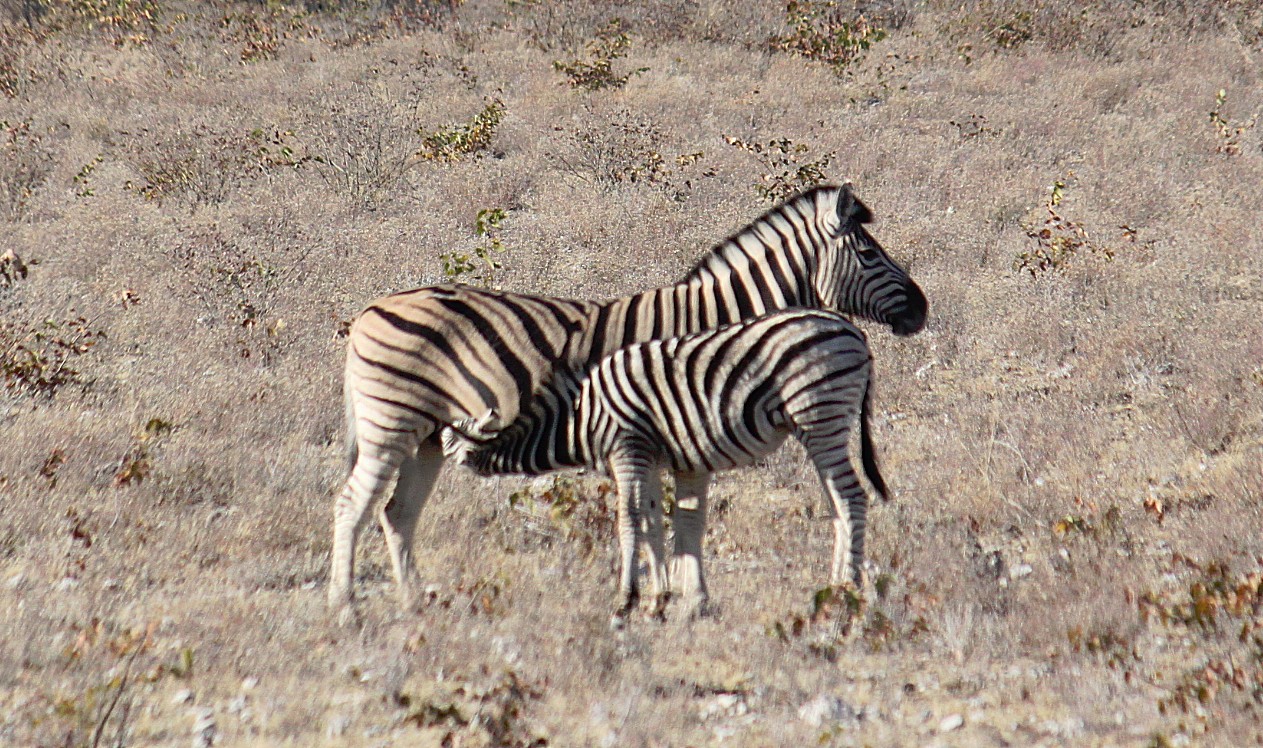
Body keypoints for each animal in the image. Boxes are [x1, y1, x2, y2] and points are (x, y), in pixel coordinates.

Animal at [444, 307, 889, 629]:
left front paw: (625, 601)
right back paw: (833, 589)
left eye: (443, 441)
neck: (578, 417)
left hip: (820, 414)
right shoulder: (653, 458)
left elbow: (629, 519)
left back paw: (846, 596)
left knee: (852, 498)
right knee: (838, 507)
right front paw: (658, 601)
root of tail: (852, 331)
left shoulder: (628, 448)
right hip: (820, 423)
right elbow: (654, 521)